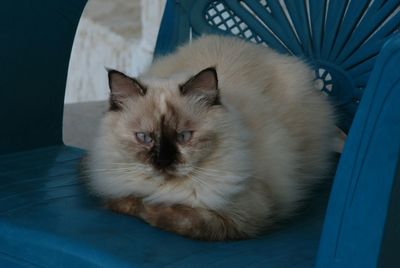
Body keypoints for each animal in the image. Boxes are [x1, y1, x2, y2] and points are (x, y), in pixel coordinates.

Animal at [86, 34, 336, 241]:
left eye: (184, 136)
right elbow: (126, 201)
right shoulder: (115, 189)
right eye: (144, 138)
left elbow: (180, 219)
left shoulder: (242, 216)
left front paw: (151, 209)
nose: (163, 161)